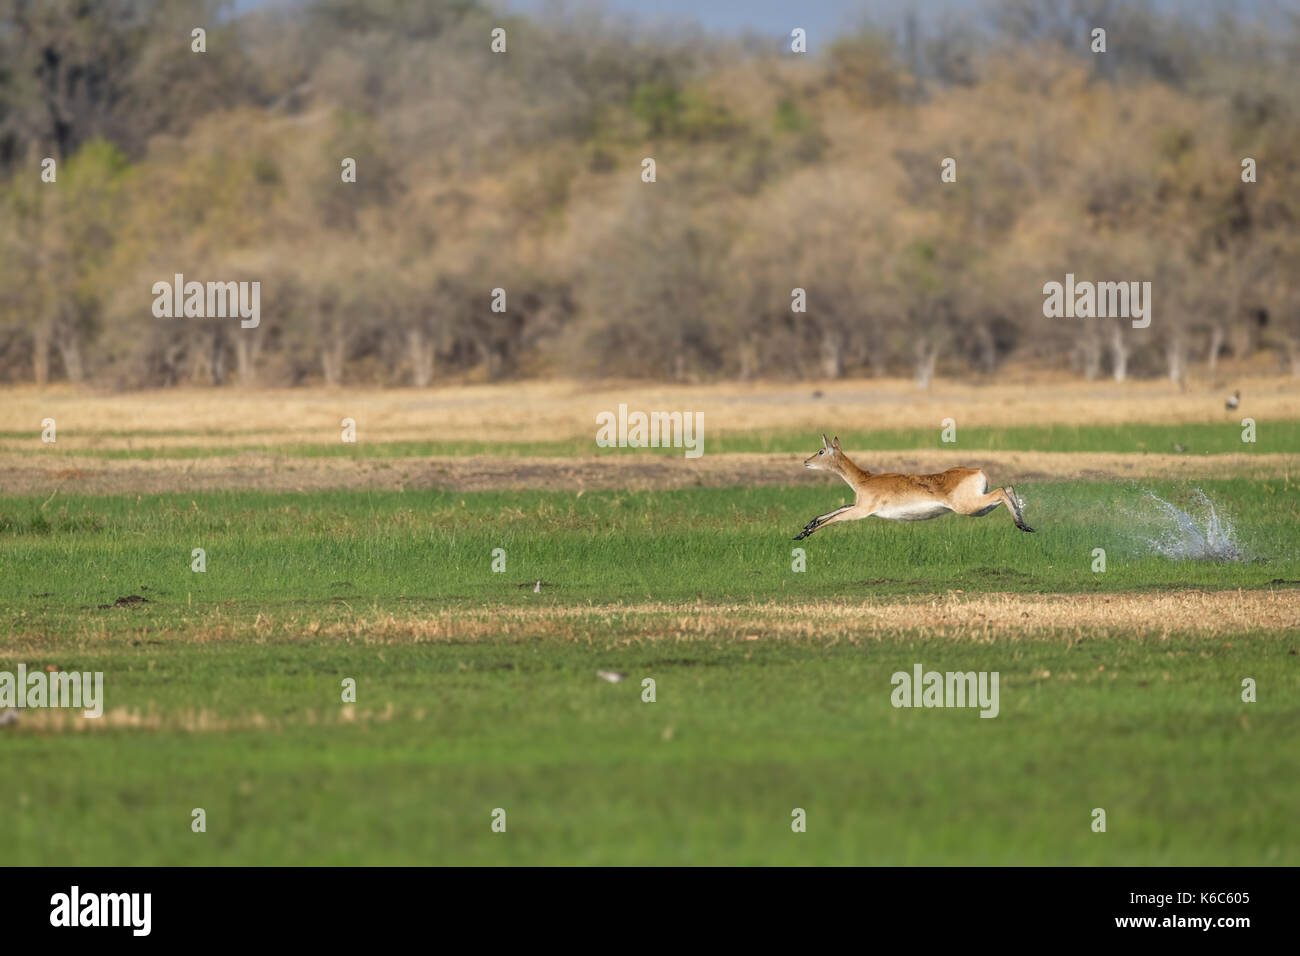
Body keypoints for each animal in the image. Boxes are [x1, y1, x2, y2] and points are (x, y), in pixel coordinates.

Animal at [790, 437, 1034, 541]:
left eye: (821, 451)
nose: (805, 461)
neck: (864, 480)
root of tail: (978, 470)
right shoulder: (858, 505)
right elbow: (840, 508)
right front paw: (807, 525)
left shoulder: (862, 510)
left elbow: (837, 518)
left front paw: (802, 534)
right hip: (980, 508)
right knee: (1007, 489)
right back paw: (1025, 524)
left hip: (969, 506)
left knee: (1002, 490)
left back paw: (1022, 525)